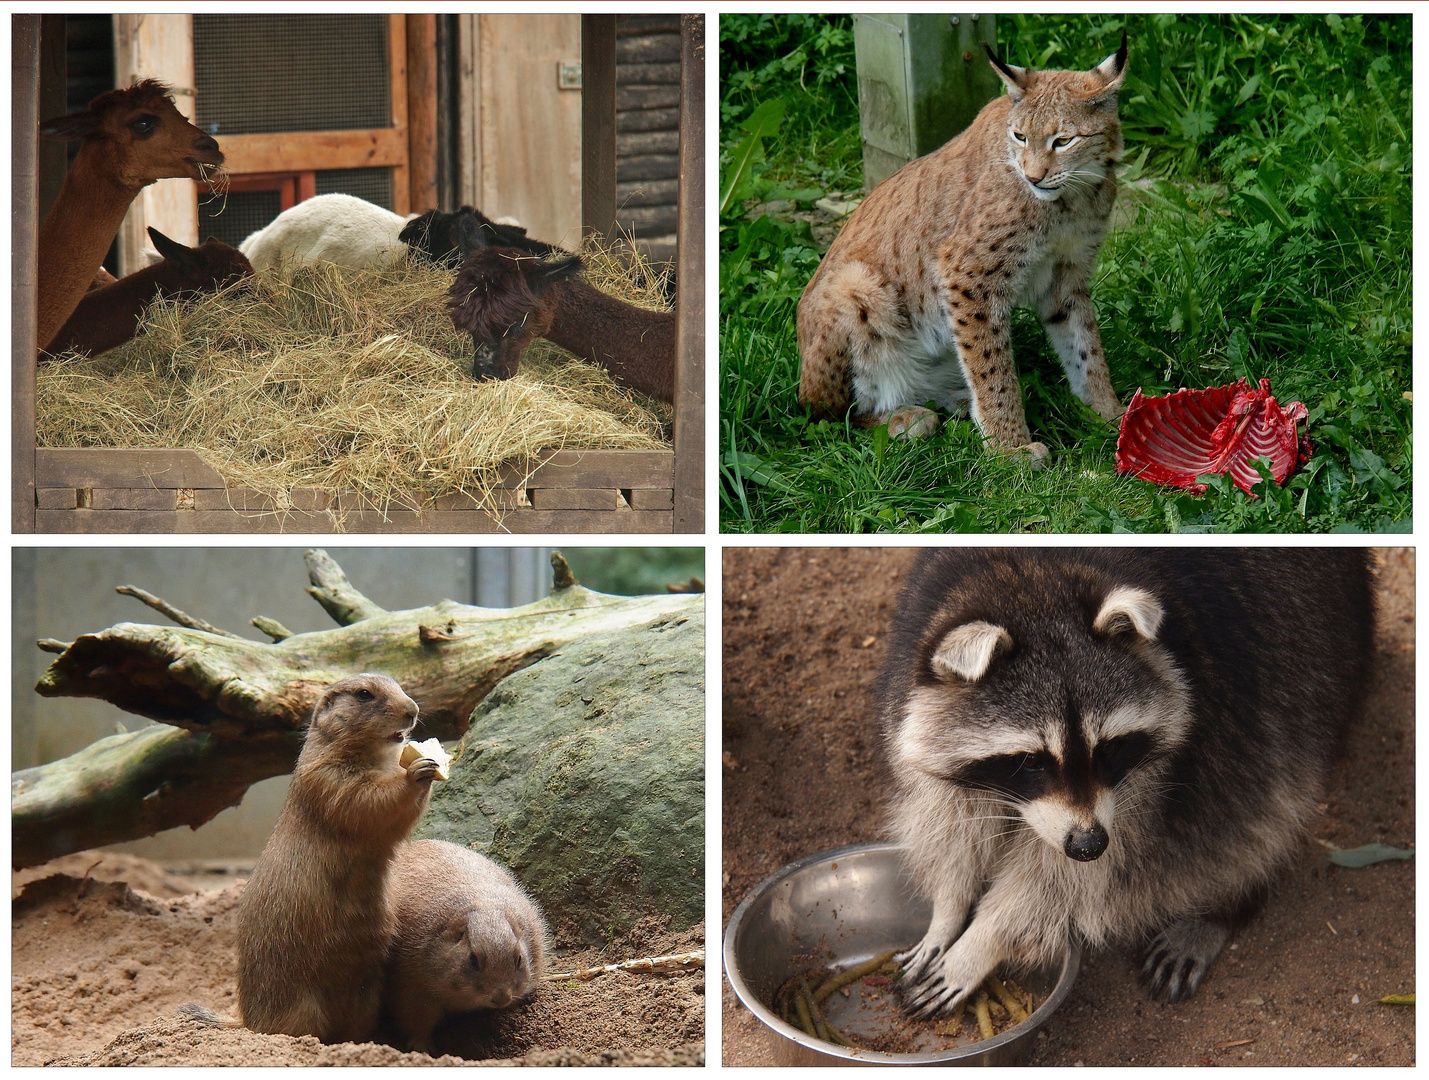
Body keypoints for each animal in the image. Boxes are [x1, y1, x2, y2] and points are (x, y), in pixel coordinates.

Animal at [880, 548, 1371, 1011]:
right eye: (1032, 761)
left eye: (1108, 749)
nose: (1088, 844)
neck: (1036, 580)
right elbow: (952, 822)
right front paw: (949, 910)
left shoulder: (1157, 772)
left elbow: (1069, 880)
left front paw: (980, 943)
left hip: (1312, 657)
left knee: (1263, 804)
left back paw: (1221, 909)